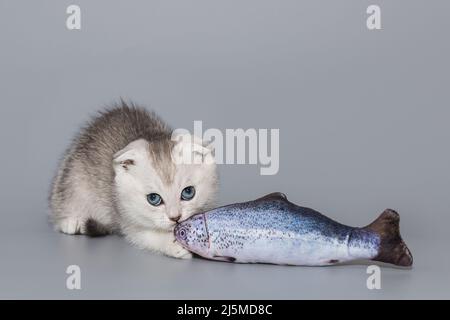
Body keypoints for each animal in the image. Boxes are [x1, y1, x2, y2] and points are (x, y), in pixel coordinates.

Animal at [49, 101, 218, 258]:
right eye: (153, 199)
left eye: (188, 192)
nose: (175, 217)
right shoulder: (125, 215)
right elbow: (146, 235)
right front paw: (173, 245)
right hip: (72, 178)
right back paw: (71, 221)